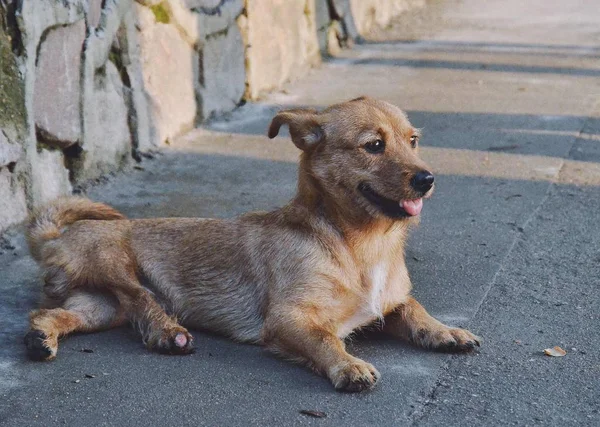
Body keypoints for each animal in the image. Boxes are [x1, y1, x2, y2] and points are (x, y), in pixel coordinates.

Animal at [25, 98, 480, 392]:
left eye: (413, 140)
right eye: (374, 145)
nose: (427, 179)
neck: (358, 246)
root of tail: (54, 236)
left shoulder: (389, 303)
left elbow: (415, 308)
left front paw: (446, 331)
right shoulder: (288, 319)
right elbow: (326, 339)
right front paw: (348, 365)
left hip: (99, 308)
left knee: (50, 313)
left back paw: (40, 336)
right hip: (114, 262)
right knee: (140, 297)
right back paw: (168, 332)